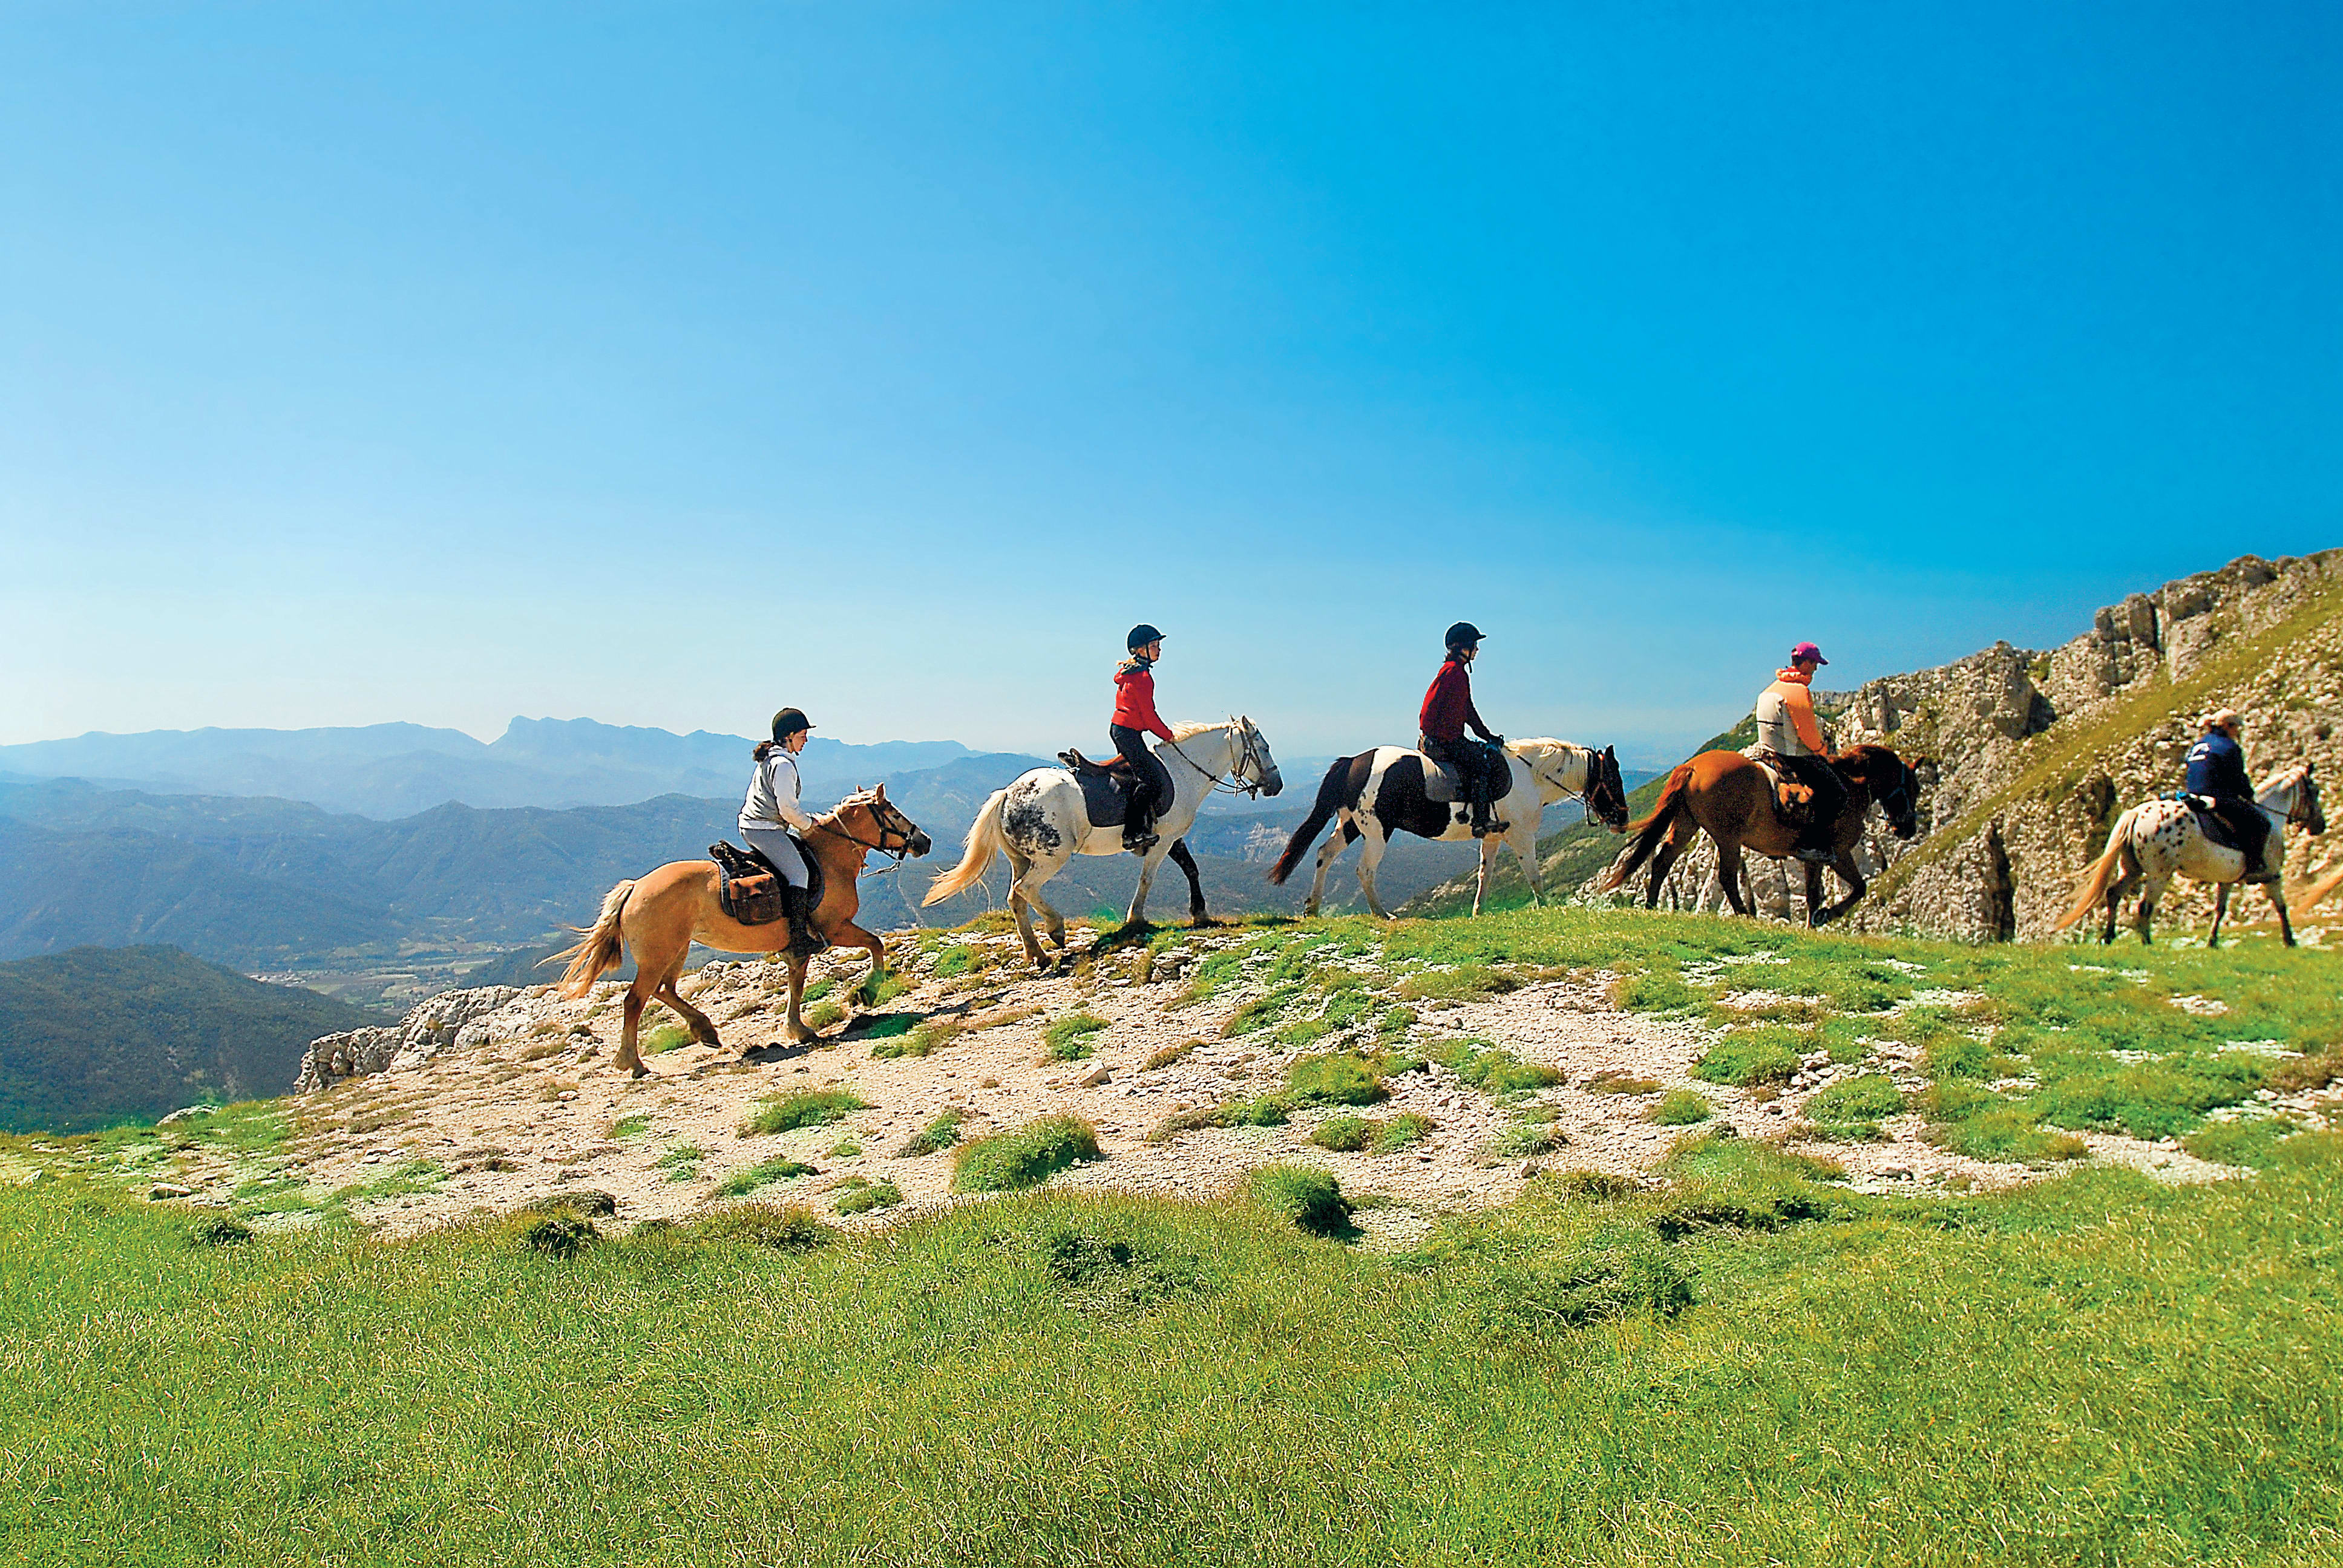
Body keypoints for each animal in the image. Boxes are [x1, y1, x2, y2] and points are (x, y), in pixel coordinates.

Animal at [554, 787, 932, 1075]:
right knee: (635, 1001)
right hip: (658, 954)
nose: (924, 841)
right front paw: (868, 990)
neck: (828, 861)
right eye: (893, 813)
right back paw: (632, 1063)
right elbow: (876, 944)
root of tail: (635, 888)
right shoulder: (835, 929)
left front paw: (798, 1029)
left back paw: (705, 1030)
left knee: (664, 990)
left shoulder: (798, 947)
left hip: (677, 949)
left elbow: (797, 983)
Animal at [920, 717, 1282, 969]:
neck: (1182, 773)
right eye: (1264, 748)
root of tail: (1007, 794)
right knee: (1025, 890)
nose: (1276, 785)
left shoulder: (1174, 837)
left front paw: (1200, 912)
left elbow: (1191, 870)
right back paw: (1055, 929)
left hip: (1022, 858)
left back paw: (1037, 953)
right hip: (1051, 857)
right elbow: (1148, 879)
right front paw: (1136, 917)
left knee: (1016, 898)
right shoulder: (1162, 841)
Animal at [1269, 741, 1630, 918]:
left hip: (1350, 825)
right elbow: (1534, 875)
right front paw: (1547, 908)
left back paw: (1313, 908)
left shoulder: (1494, 837)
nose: (1623, 821)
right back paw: (1382, 914)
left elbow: (1485, 875)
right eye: (1614, 780)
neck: (1531, 776)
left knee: (1324, 854)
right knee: (1364, 870)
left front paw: (1478, 912)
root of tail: (1353, 761)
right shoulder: (1521, 836)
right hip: (1376, 831)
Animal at [1599, 744, 1925, 927]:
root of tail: (1692, 767)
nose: (1907, 828)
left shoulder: (1813, 858)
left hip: (1686, 825)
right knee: (1726, 877)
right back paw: (1745, 914)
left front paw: (1813, 923)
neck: (1852, 785)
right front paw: (1827, 916)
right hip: (1728, 838)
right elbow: (1859, 888)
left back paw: (1652, 906)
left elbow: (1813, 895)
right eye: (1914, 788)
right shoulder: (1838, 853)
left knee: (1662, 861)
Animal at [2053, 764, 2325, 947]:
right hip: (2158, 875)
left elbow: (2220, 910)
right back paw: (2146, 941)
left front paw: (2212, 941)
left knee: (2113, 894)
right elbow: (2281, 906)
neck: (2269, 815)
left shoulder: (2226, 881)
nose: (2320, 826)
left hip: (2132, 870)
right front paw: (2290, 940)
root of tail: (2136, 813)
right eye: (2315, 791)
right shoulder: (2272, 875)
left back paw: (2109, 937)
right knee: (2144, 906)